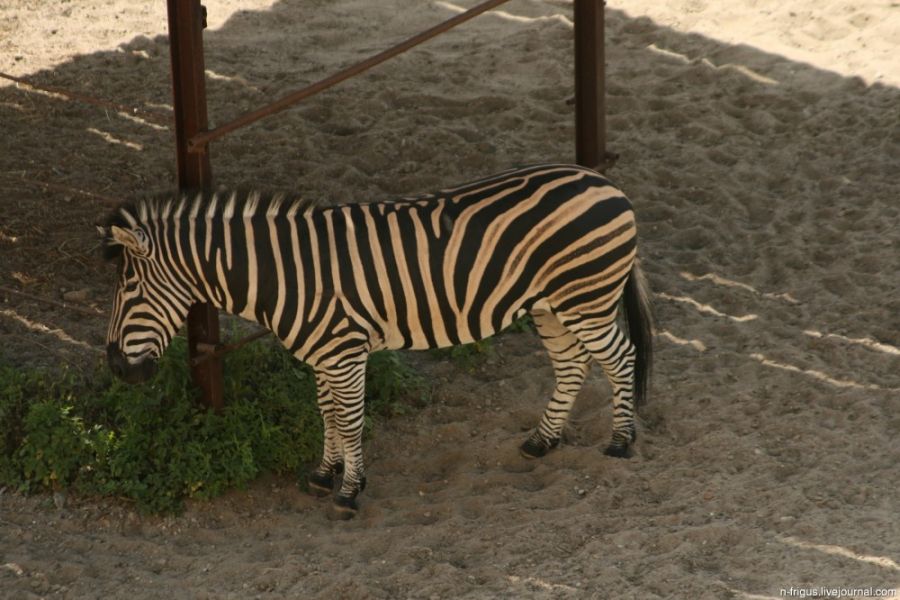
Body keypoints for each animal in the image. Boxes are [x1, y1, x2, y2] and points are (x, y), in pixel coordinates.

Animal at [99, 163, 653, 518]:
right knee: (572, 365)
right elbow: (327, 414)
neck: (284, 274)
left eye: (129, 289)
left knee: (620, 357)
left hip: (586, 297)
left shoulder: (344, 352)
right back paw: (542, 442)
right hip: (550, 305)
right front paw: (325, 476)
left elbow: (349, 420)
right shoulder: (323, 354)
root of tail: (605, 181)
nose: (116, 369)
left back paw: (621, 442)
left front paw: (348, 493)